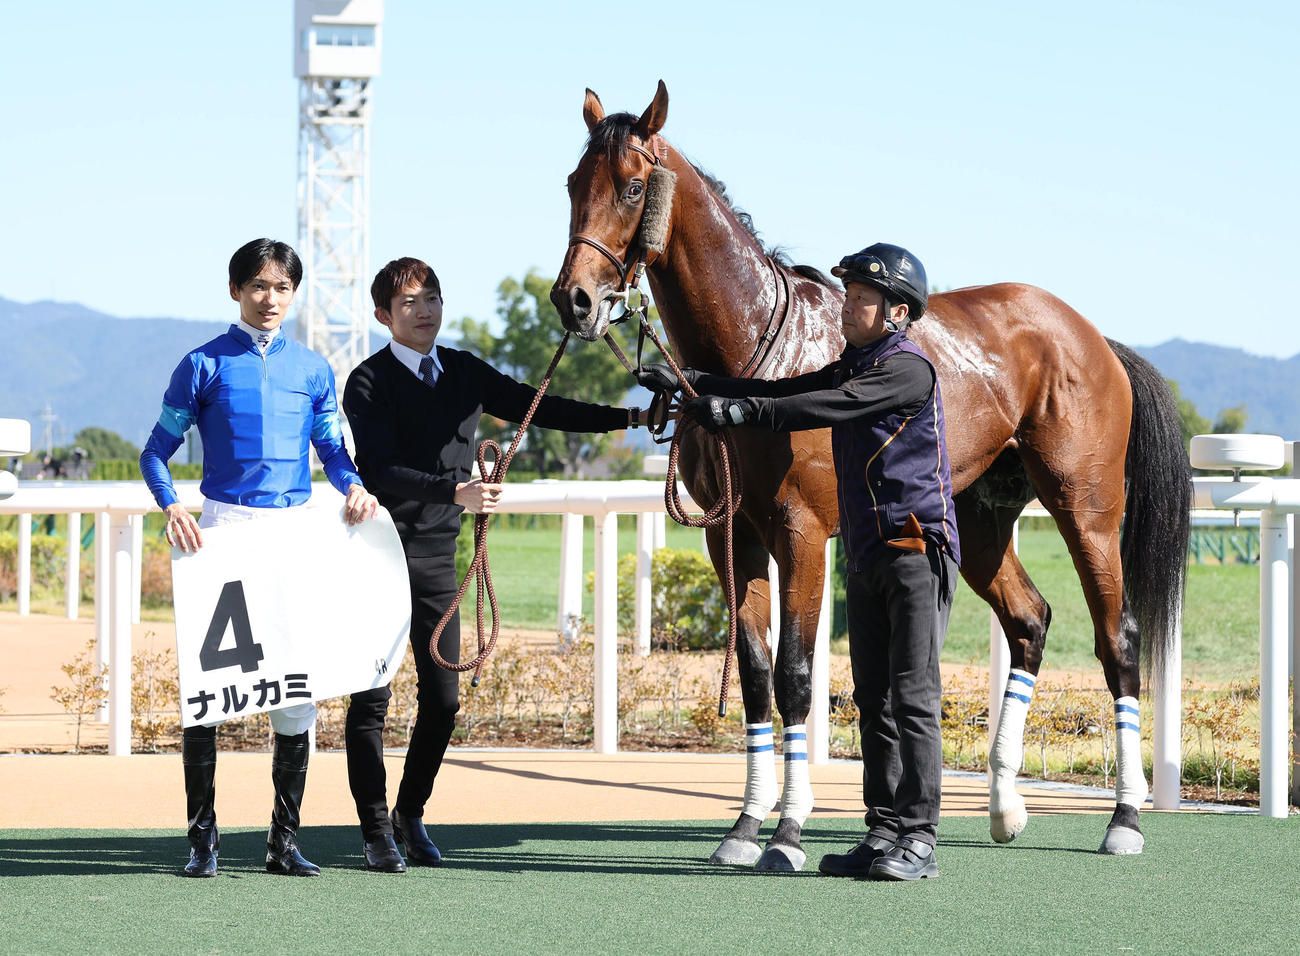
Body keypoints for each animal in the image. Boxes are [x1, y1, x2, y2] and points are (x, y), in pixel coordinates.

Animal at [550, 81, 1190, 869]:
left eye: (633, 186)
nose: (574, 299)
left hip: (1088, 509)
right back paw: (1005, 806)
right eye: (574, 183)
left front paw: (787, 833)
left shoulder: (800, 533)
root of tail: (1093, 336)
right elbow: (756, 675)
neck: (756, 352)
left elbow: (796, 675)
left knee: (1118, 639)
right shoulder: (731, 535)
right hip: (977, 522)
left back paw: (1124, 817)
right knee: (1029, 620)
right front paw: (744, 828)